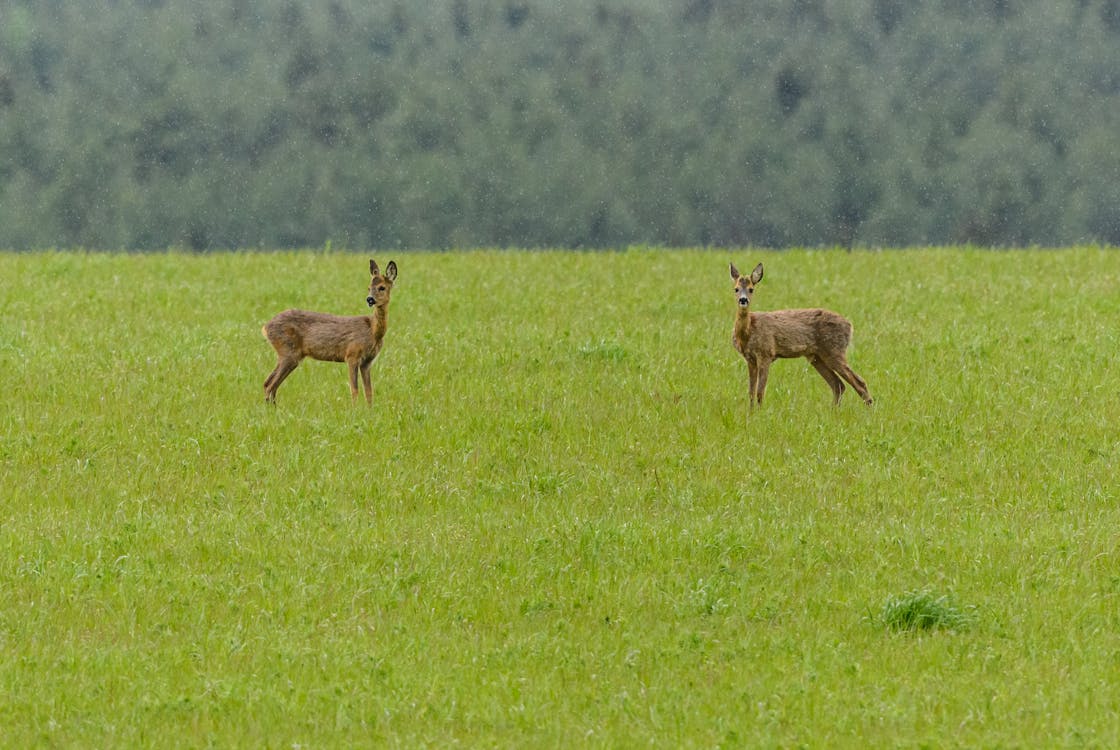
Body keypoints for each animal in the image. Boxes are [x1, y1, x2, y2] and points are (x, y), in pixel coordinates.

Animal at [262, 261, 398, 407]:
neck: (373, 331)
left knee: (269, 383)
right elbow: (354, 389)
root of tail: (266, 327)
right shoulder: (351, 355)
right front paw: (355, 410)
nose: (370, 299)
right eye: (368, 288)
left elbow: (369, 392)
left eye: (382, 287)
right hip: (288, 351)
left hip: (289, 355)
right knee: (270, 385)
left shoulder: (367, 362)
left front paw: (369, 410)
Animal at [730, 261, 869, 407]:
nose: (743, 300)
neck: (747, 333)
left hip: (835, 350)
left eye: (751, 289)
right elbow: (751, 392)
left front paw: (760, 412)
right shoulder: (750, 358)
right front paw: (751, 412)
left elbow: (759, 392)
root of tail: (850, 326)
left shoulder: (766, 353)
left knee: (859, 382)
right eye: (736, 289)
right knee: (838, 385)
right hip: (816, 356)